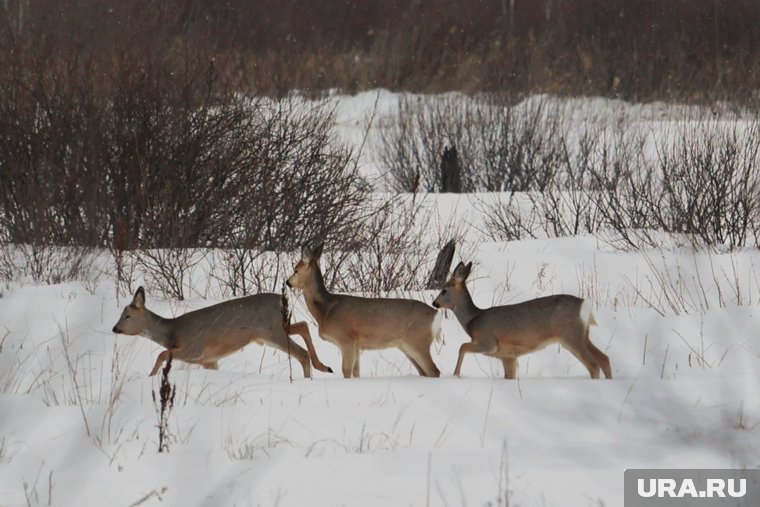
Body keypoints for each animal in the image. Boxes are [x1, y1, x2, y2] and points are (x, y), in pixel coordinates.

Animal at [111, 286, 332, 378]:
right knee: (303, 325)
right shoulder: (209, 361)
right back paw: (323, 366)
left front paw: (151, 375)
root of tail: (282, 299)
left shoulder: (195, 347)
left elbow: (163, 353)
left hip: (272, 330)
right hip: (280, 327)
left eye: (127, 315)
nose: (115, 328)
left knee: (302, 354)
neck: (171, 332)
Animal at [284, 244, 442, 380]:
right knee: (425, 372)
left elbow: (346, 370)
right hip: (406, 347)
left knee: (434, 371)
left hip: (418, 342)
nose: (287, 282)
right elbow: (356, 372)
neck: (326, 309)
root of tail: (436, 315)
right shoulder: (357, 346)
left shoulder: (346, 339)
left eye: (296, 269)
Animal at [434, 264, 612, 380]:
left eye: (444, 290)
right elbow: (509, 376)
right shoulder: (507, 356)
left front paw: (455, 375)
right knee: (604, 359)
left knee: (593, 365)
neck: (473, 319)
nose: (435, 303)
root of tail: (585, 305)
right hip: (582, 335)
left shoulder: (489, 342)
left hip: (570, 334)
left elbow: (462, 347)